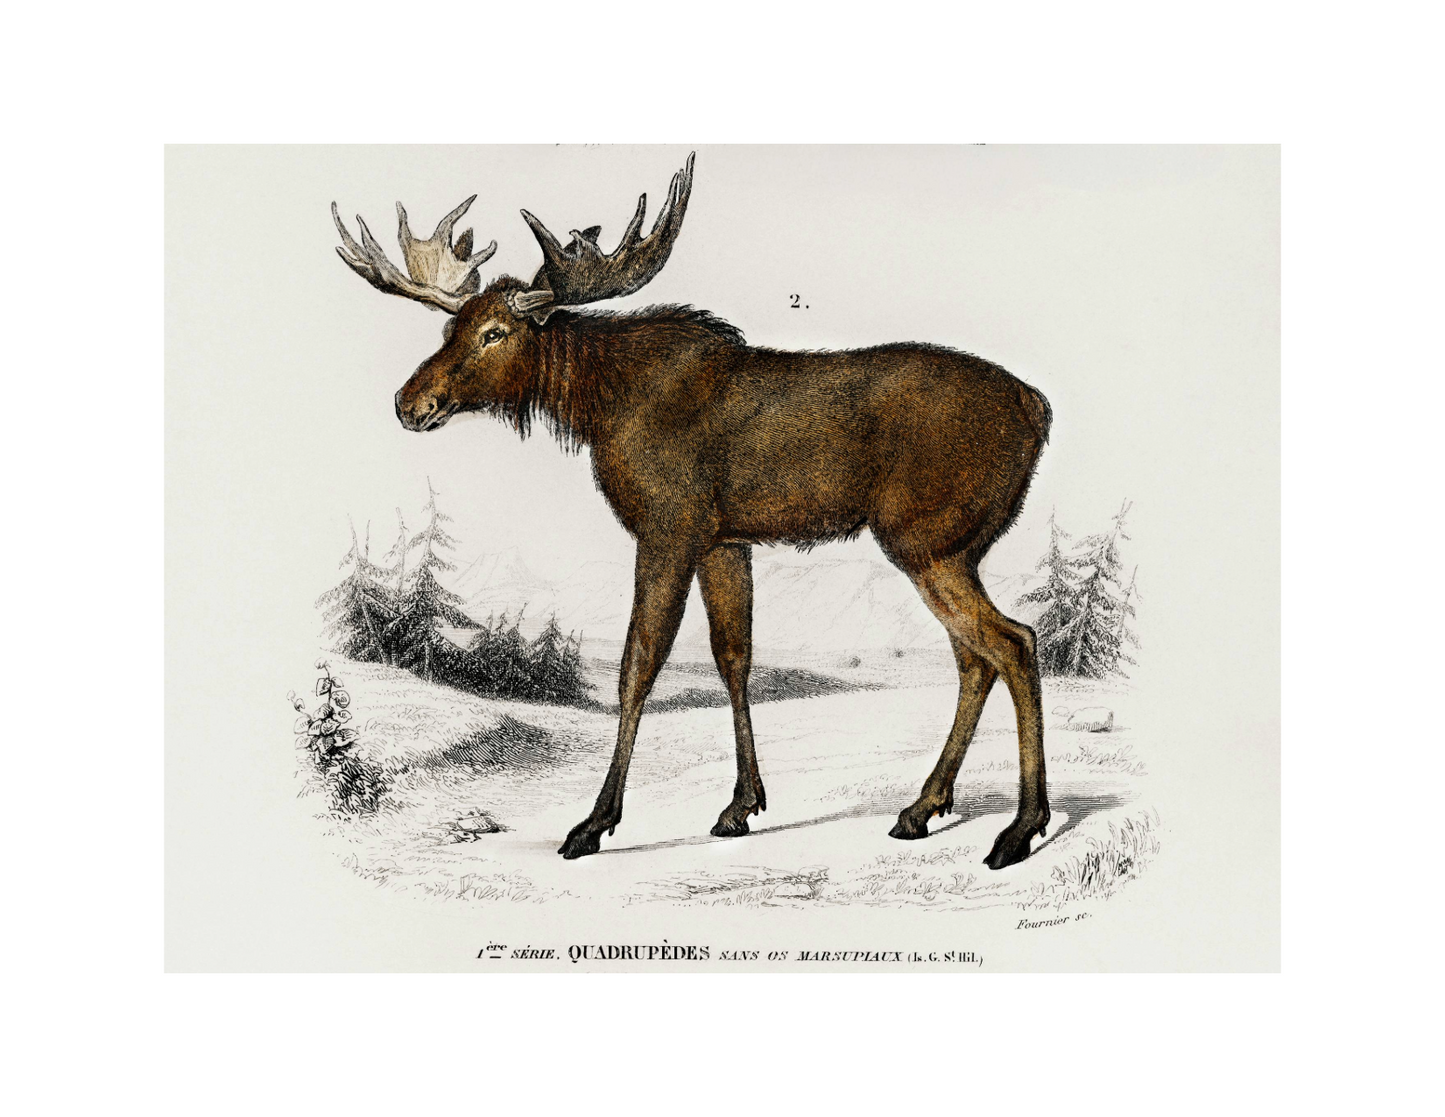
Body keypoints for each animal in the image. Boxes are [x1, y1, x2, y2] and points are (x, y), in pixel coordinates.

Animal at [332, 152, 1054, 868]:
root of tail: (1038, 408)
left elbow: (638, 664)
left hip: (924, 538)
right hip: (950, 545)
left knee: (1013, 642)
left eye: (494, 332)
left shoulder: (668, 526)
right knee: (974, 657)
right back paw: (922, 807)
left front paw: (595, 822)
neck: (600, 407)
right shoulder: (723, 539)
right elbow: (733, 656)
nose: (409, 401)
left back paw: (1020, 826)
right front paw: (742, 804)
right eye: (448, 327)